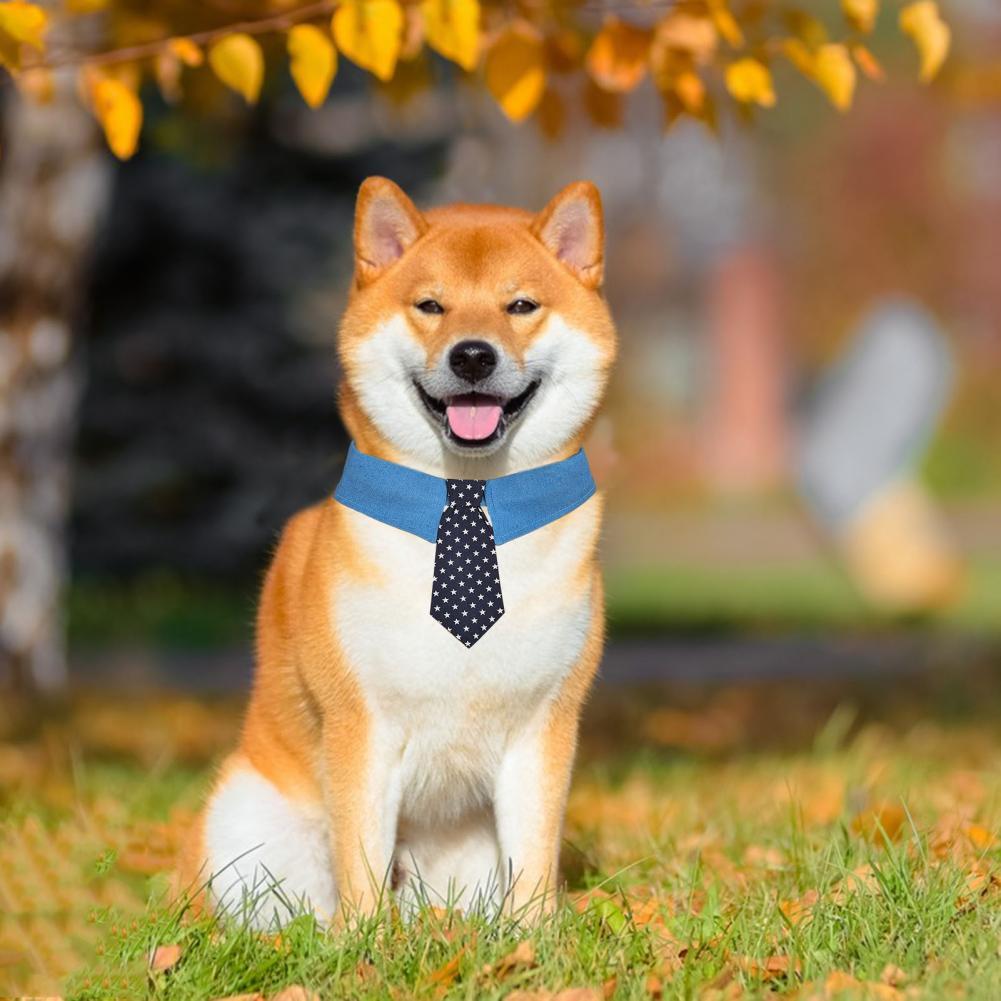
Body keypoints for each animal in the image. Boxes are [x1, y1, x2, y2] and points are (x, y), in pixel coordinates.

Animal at [180, 176, 616, 924]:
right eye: (431, 305)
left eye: (520, 305)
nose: (473, 354)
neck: (468, 498)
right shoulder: (360, 723)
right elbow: (359, 859)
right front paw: (362, 942)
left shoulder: (544, 725)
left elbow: (533, 862)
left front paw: (535, 939)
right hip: (246, 824)